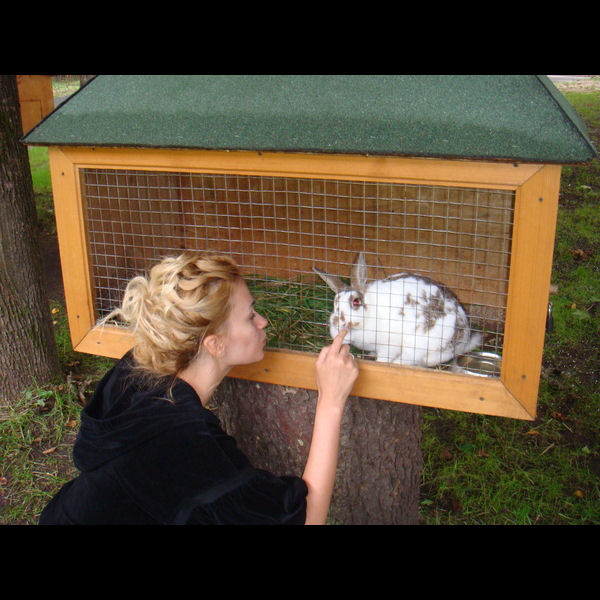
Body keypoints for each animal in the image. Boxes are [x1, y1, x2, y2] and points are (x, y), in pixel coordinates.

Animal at [313, 253, 482, 367]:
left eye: (356, 302)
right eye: (335, 303)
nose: (338, 323)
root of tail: (463, 339)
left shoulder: (389, 345)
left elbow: (384, 357)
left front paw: (379, 362)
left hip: (417, 346)